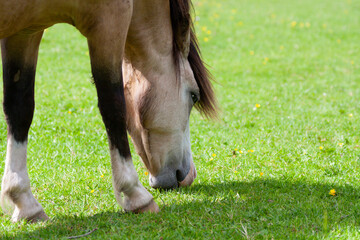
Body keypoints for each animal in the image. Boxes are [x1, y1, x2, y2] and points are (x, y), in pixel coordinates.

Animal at [0, 0, 217, 221]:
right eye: (194, 96)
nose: (188, 175)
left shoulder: (25, 31)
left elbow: (19, 109)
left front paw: (24, 202)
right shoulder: (109, 22)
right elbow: (113, 106)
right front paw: (135, 194)